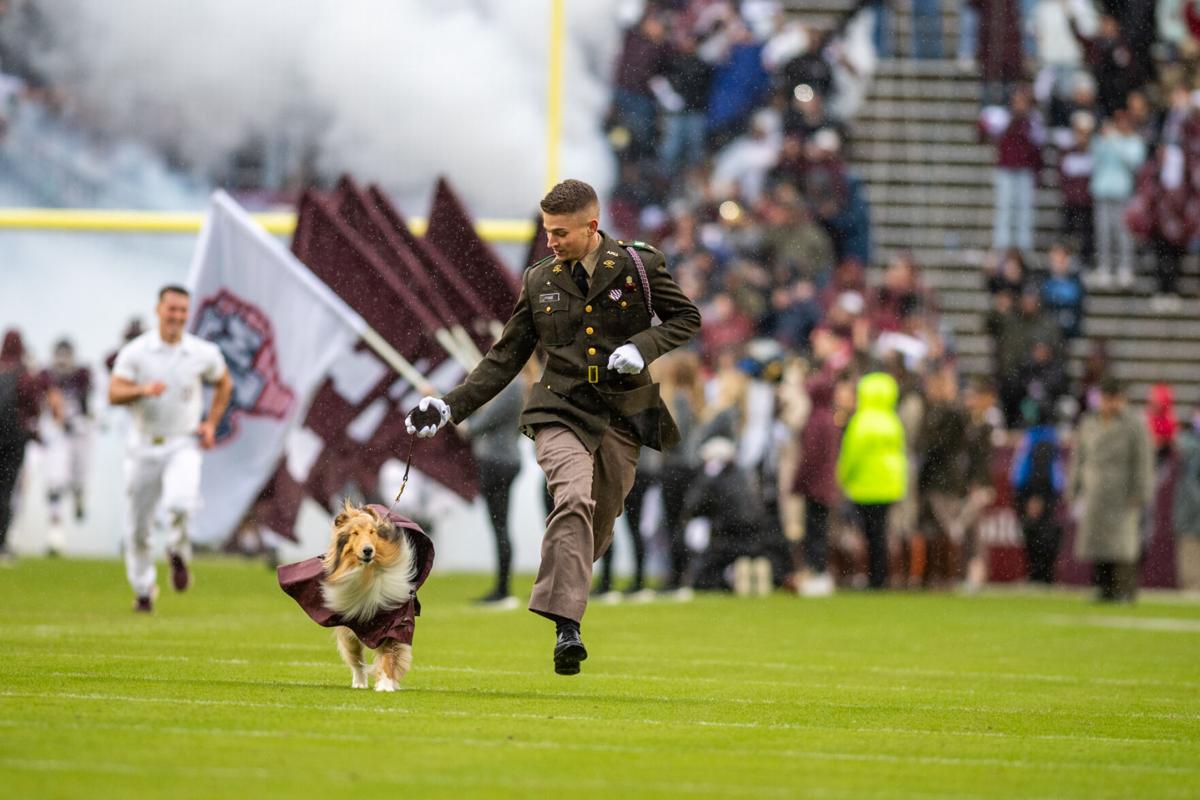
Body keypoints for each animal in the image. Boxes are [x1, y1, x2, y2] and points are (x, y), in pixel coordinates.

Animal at [321, 503, 420, 690]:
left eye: (372, 532)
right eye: (355, 533)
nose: (368, 550)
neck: (368, 574)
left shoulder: (393, 621)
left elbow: (390, 654)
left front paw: (386, 685)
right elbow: (359, 659)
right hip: (348, 632)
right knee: (356, 660)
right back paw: (359, 683)